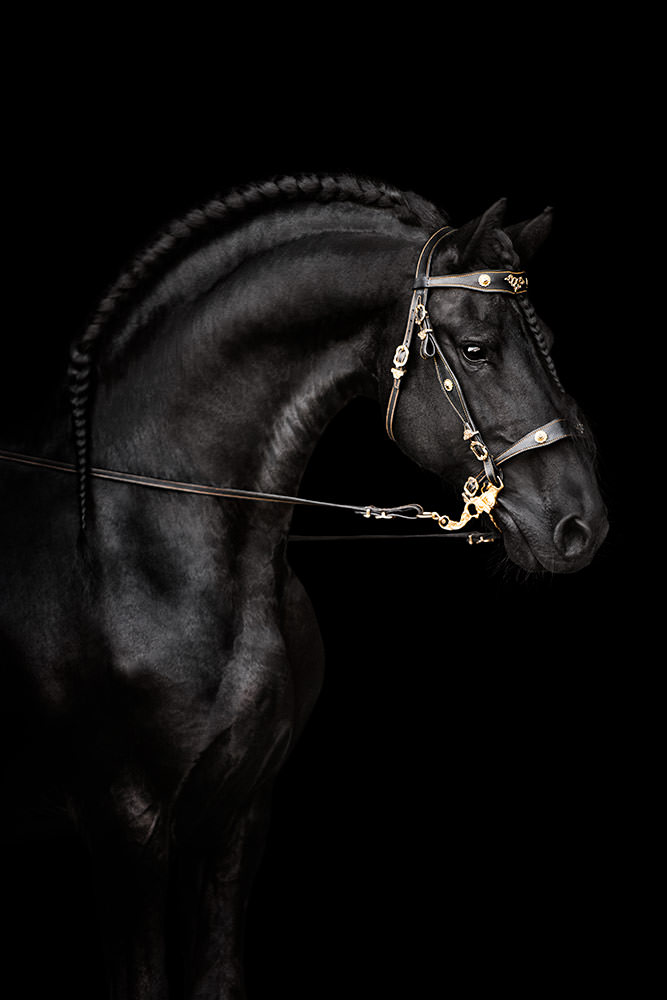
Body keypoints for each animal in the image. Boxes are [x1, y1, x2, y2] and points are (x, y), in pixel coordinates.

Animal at [0, 174, 608, 999]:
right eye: (476, 349)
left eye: (549, 344)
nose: (582, 525)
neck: (136, 547)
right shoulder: (126, 828)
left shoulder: (234, 818)